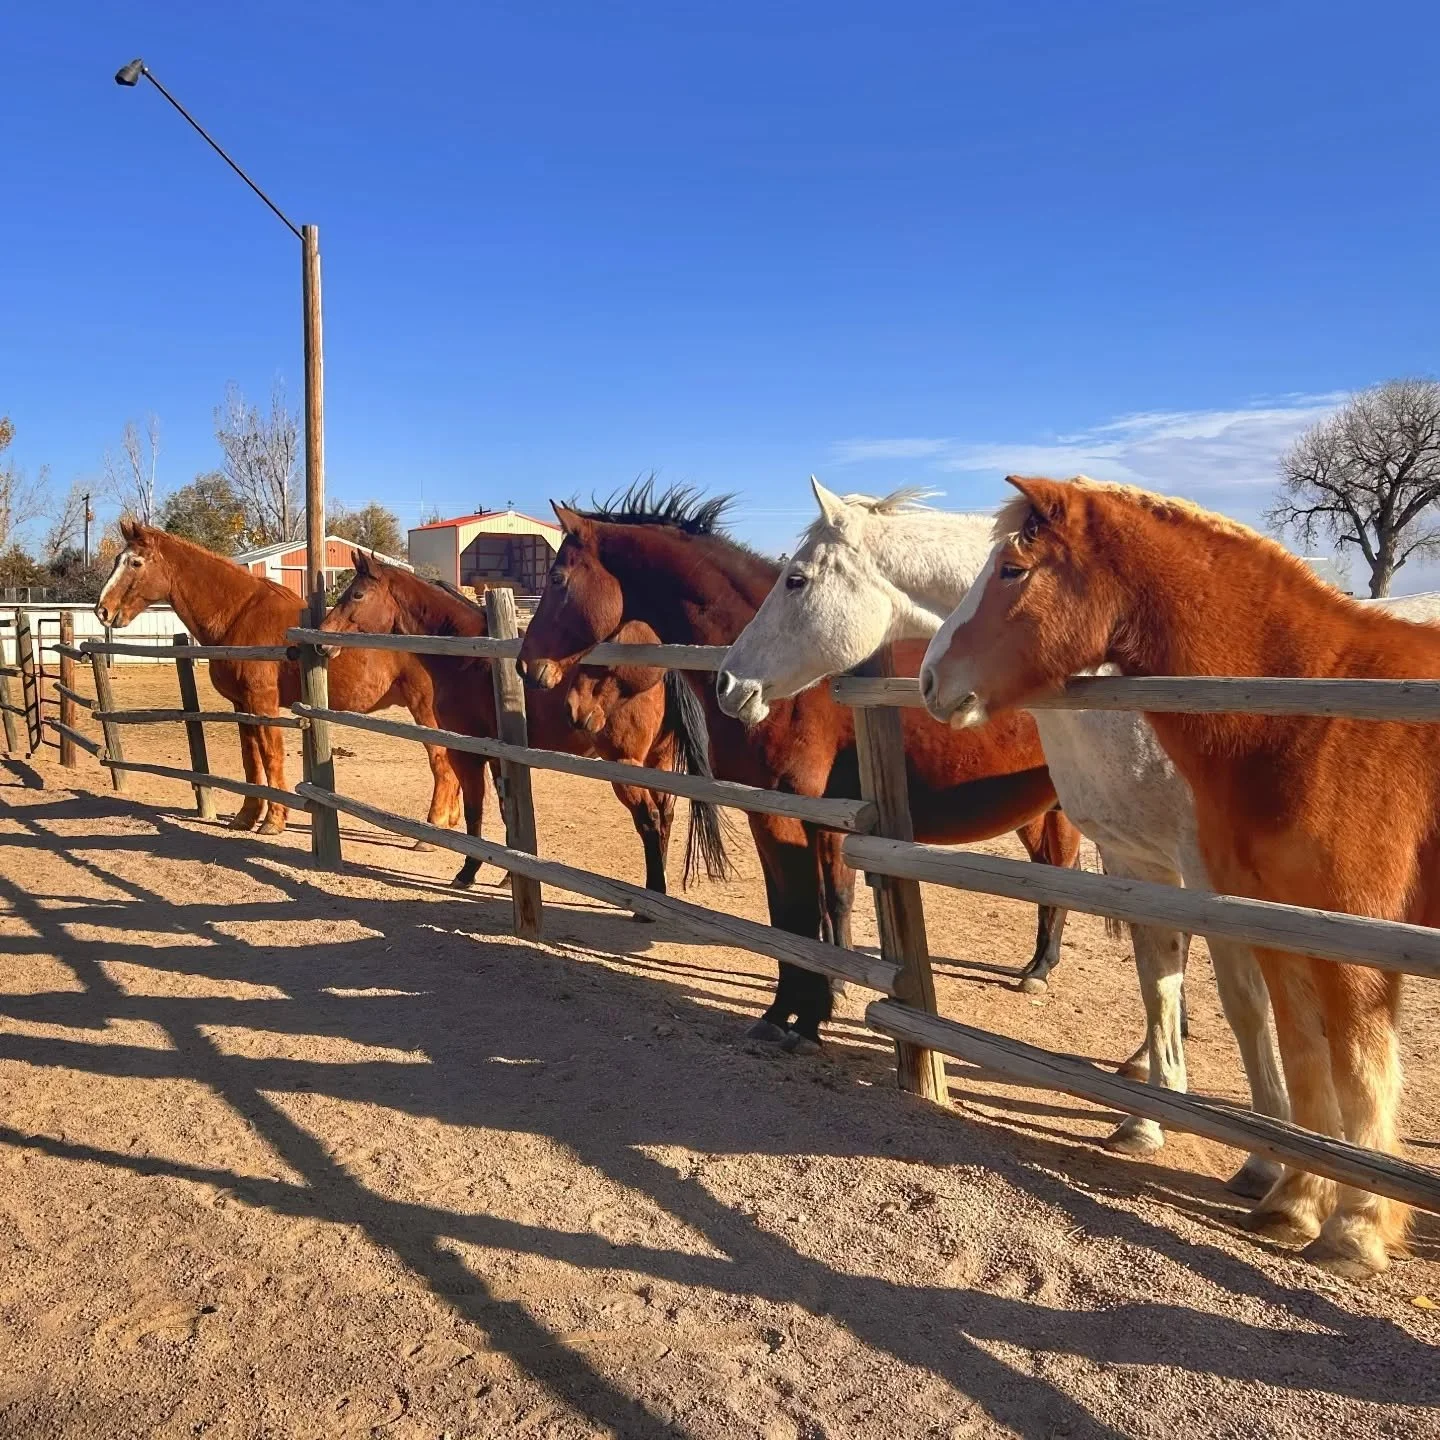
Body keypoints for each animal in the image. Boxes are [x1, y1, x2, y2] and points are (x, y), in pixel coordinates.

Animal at [94, 521, 461, 837]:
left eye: (136, 562)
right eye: (117, 560)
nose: (103, 610)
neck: (240, 615)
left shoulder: (262, 702)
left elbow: (271, 755)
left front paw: (273, 821)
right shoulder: (241, 705)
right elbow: (250, 759)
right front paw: (246, 816)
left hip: (425, 712)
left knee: (442, 764)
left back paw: (431, 831)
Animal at [320, 551, 727, 897]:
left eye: (356, 594)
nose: (325, 641)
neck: (469, 657)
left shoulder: (468, 752)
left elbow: (476, 811)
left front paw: (468, 872)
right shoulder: (500, 758)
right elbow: (505, 811)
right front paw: (508, 874)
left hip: (625, 766)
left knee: (650, 818)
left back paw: (651, 895)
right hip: (658, 762)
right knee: (666, 814)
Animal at [514, 482, 1081, 1051]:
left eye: (557, 579)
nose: (527, 667)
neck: (789, 684)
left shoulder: (792, 814)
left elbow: (805, 910)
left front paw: (805, 1017)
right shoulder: (772, 813)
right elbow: (789, 911)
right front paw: (789, 1010)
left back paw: (1043, 974)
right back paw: (1037, 965)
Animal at [715, 477, 1286, 1195]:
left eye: (795, 579)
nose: (728, 684)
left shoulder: (1212, 871)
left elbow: (1246, 998)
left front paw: (1270, 1164)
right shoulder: (1143, 856)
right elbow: (1161, 967)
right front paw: (1150, 1109)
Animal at [920, 474, 1440, 1279]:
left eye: (1012, 569)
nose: (930, 679)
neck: (1315, 719)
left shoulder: (1357, 944)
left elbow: (1360, 1073)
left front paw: (1354, 1230)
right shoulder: (1279, 926)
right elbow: (1307, 1061)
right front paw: (1295, 1204)